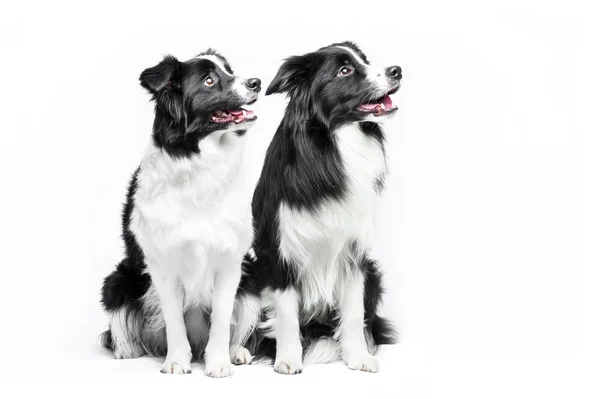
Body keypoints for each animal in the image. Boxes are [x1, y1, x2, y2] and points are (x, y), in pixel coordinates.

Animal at [101, 50, 262, 378]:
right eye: (209, 80)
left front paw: (219, 363)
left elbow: (222, 320)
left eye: (230, 70)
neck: (200, 165)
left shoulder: (231, 262)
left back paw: (237, 352)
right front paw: (176, 361)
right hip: (119, 278)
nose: (257, 82)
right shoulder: (162, 264)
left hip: (252, 278)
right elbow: (174, 321)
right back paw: (128, 348)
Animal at [248, 42, 404, 374]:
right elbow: (286, 313)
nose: (397, 70)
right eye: (344, 70)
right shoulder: (280, 253)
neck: (333, 145)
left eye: (365, 60)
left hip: (373, 272)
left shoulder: (354, 252)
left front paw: (357, 356)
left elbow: (353, 312)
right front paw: (288, 359)